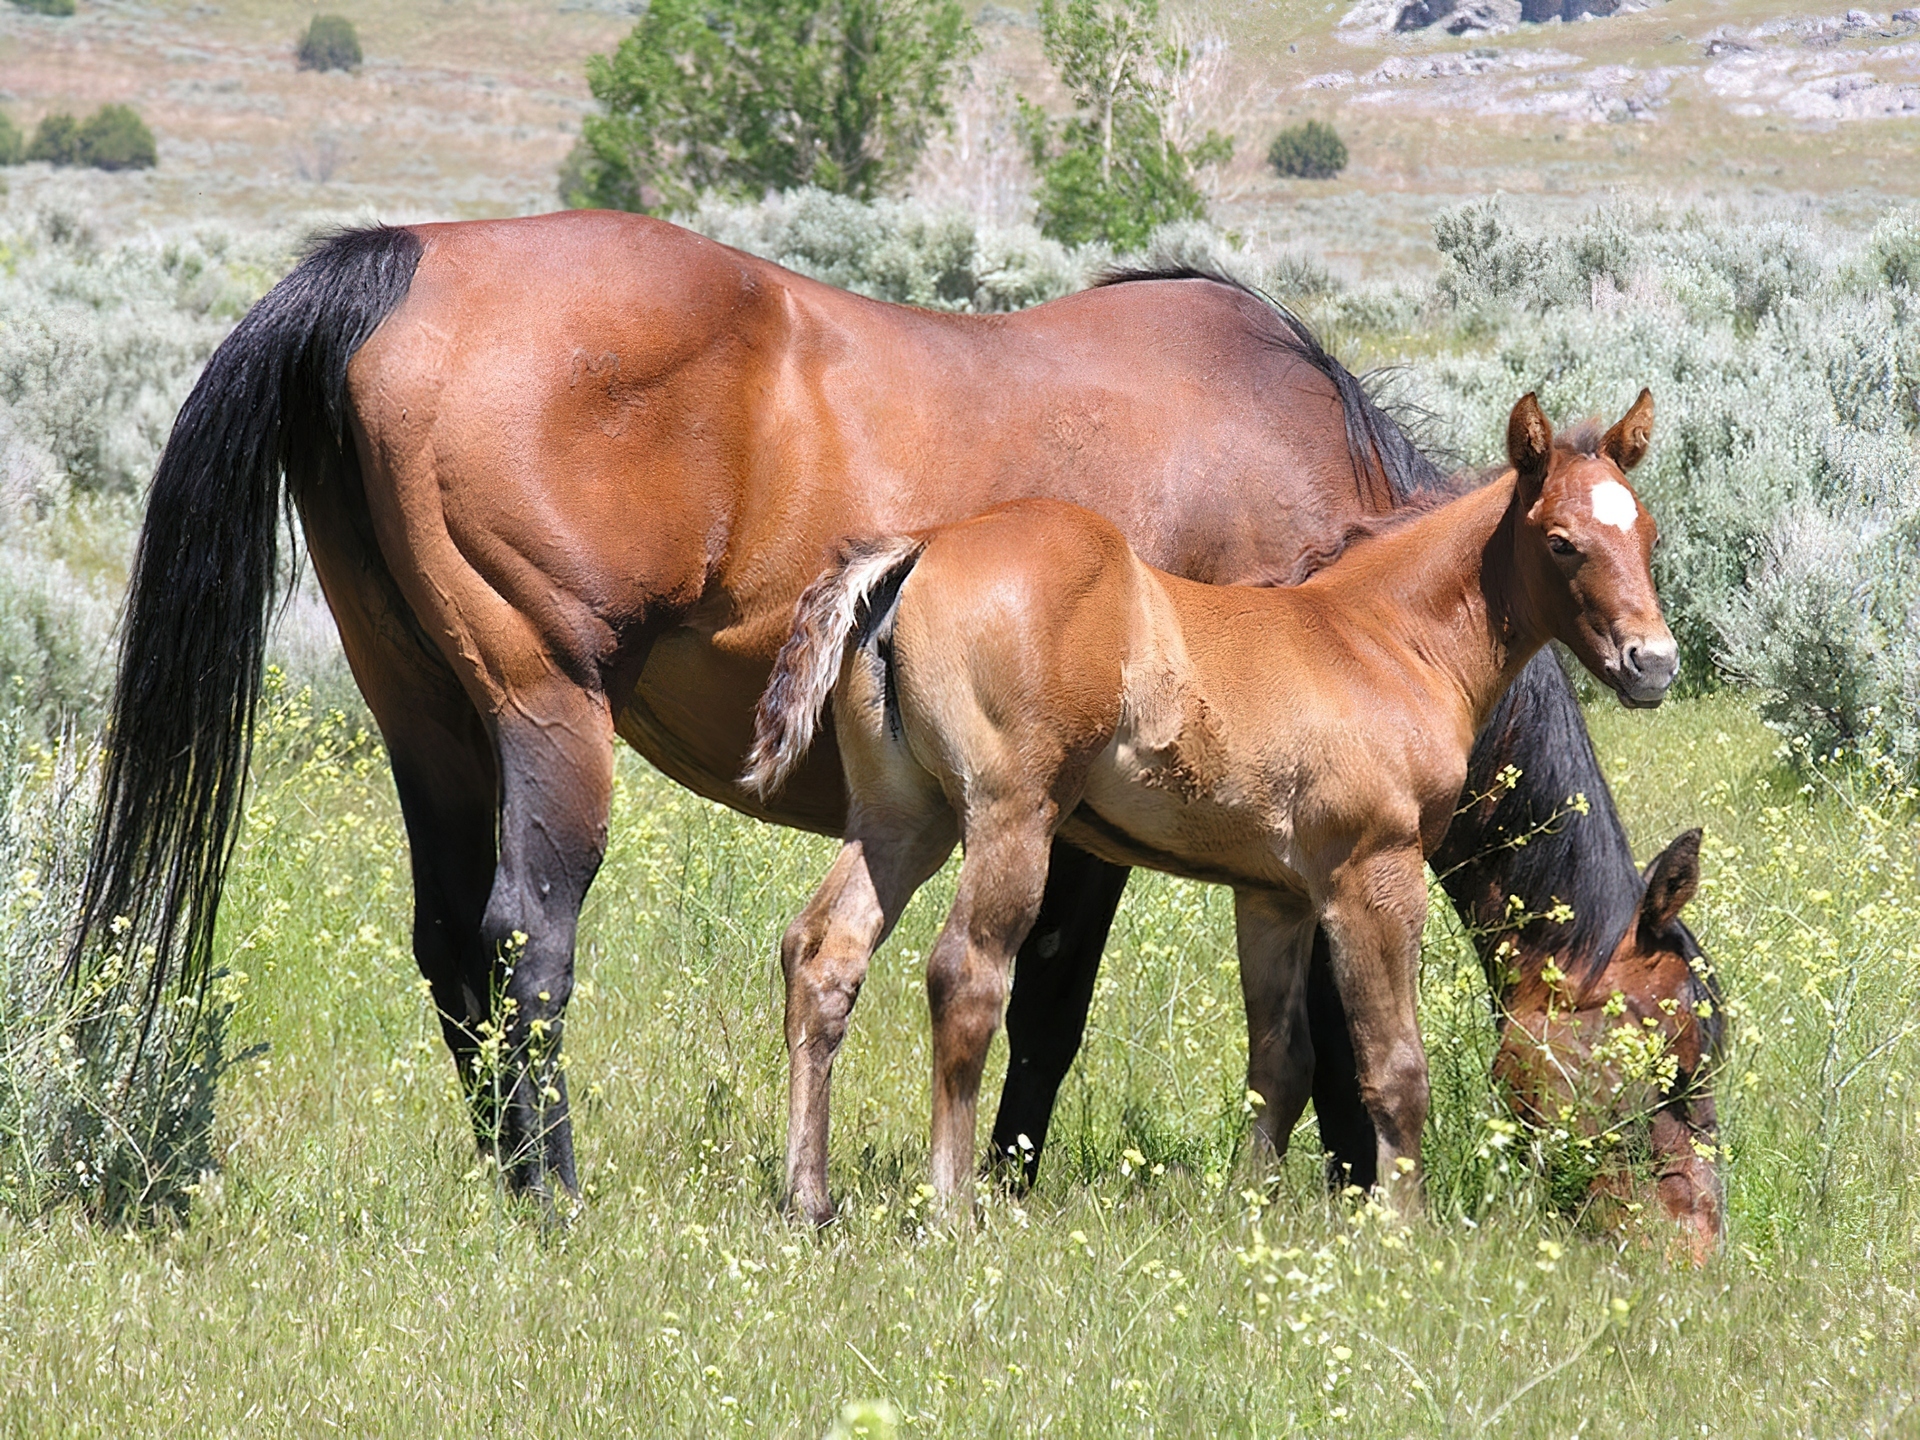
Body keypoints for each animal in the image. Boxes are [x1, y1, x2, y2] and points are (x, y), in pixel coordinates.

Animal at [741, 389, 1674, 1221]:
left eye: (1648, 532)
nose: (1653, 663)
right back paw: (951, 1210)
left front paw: (1248, 1211)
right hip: (1012, 817)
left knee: (824, 953)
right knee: (965, 975)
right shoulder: (1373, 876)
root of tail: (922, 547)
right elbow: (1393, 1068)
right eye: (1562, 543)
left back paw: (808, 1200)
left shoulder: (1273, 896)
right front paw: (1402, 1233)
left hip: (904, 820)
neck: (1380, 639)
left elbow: (1281, 1063)